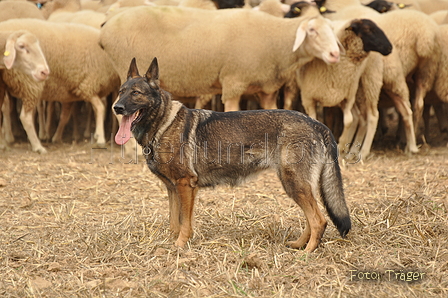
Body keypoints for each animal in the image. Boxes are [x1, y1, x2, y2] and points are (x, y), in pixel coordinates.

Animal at [112, 57, 350, 251]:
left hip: (294, 184)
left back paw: (308, 252)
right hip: (297, 186)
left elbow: (184, 223)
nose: (117, 108)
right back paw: (300, 244)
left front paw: (180, 245)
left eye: (136, 93)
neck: (163, 123)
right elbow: (173, 222)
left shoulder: (185, 185)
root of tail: (316, 123)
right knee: (312, 219)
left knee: (319, 220)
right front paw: (172, 243)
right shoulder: (172, 188)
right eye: (121, 91)